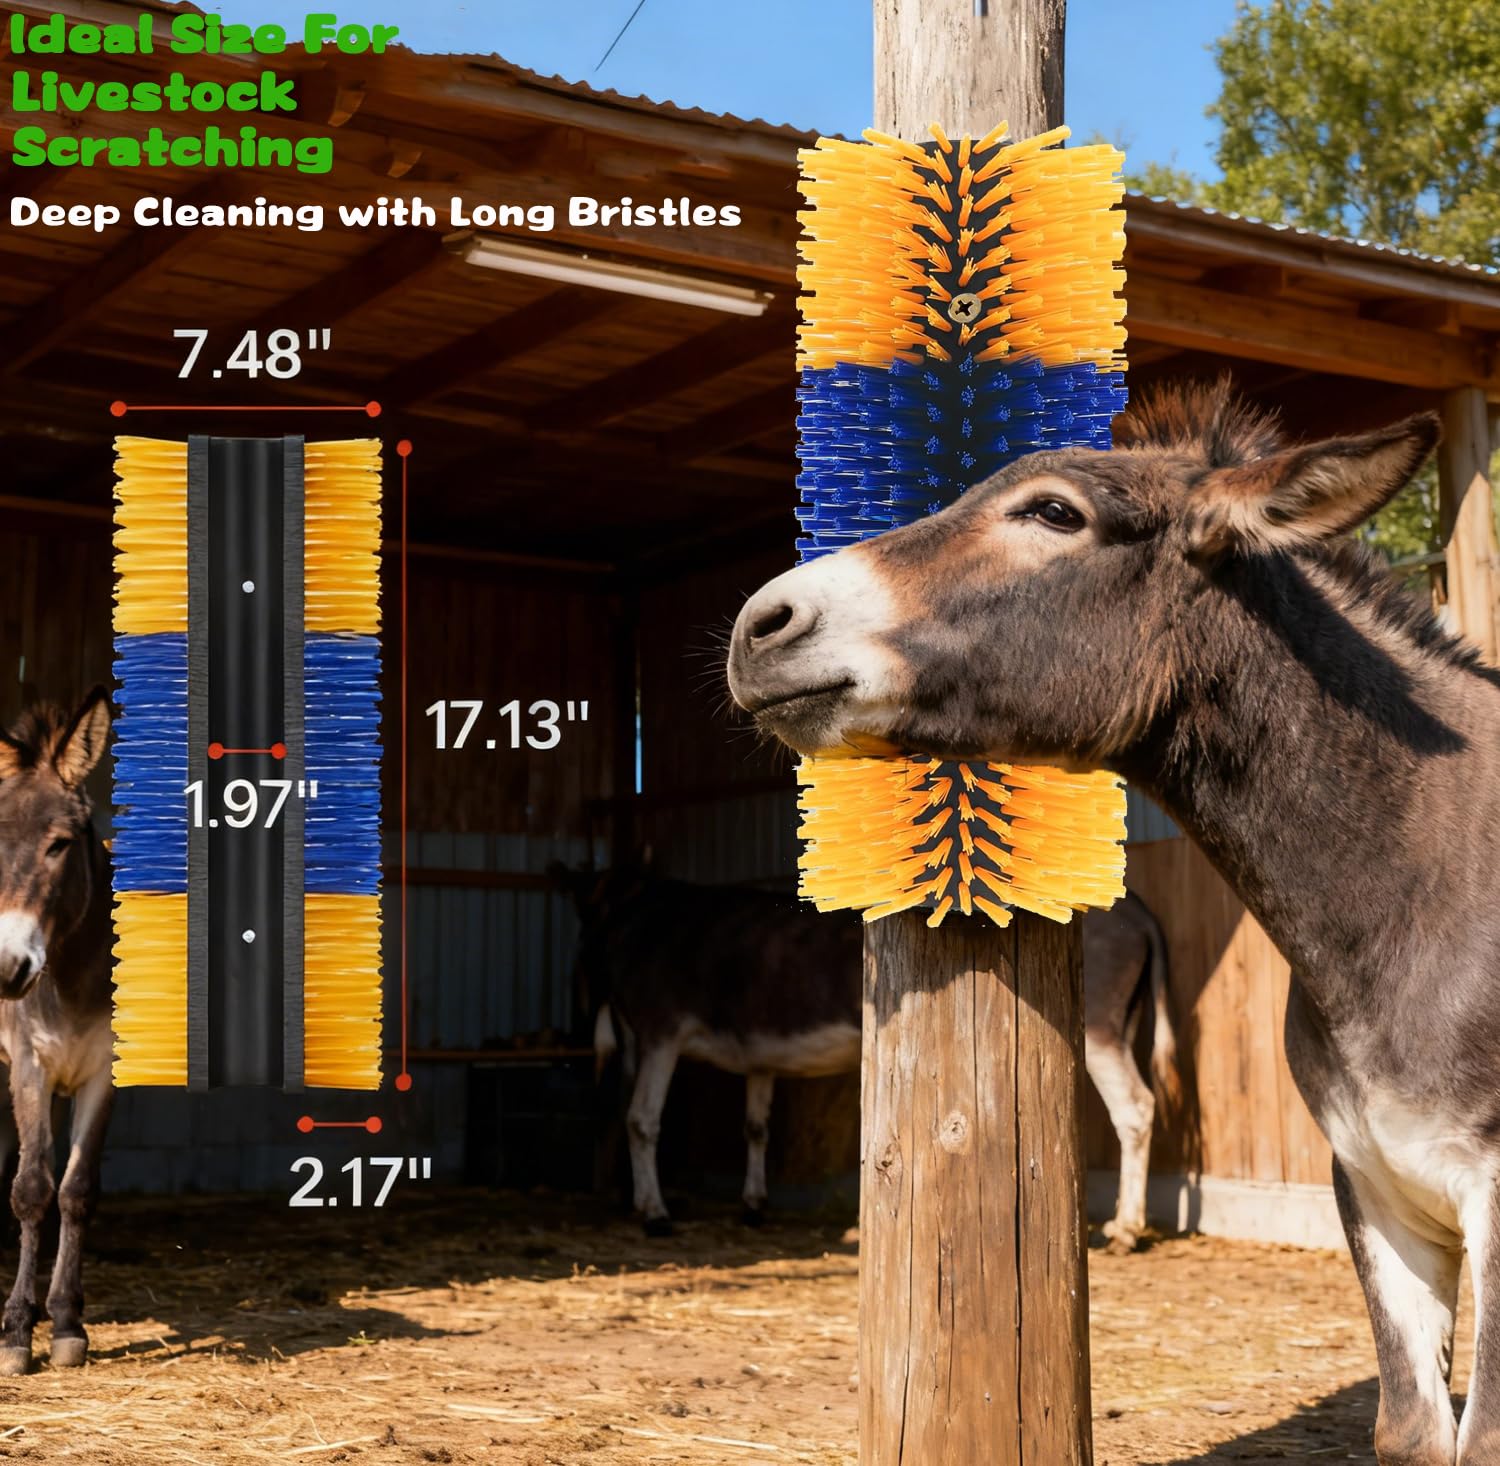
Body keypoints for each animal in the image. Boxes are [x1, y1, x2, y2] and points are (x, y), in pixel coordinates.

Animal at [559, 864, 1176, 1251]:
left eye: (589, 919)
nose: (586, 980)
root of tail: (1139, 907)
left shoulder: (659, 1029)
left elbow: (642, 1119)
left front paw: (654, 1213)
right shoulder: (749, 1052)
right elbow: (756, 1125)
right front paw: (752, 1205)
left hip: (1098, 1025)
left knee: (1135, 1108)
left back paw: (1125, 1229)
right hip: (1123, 1019)